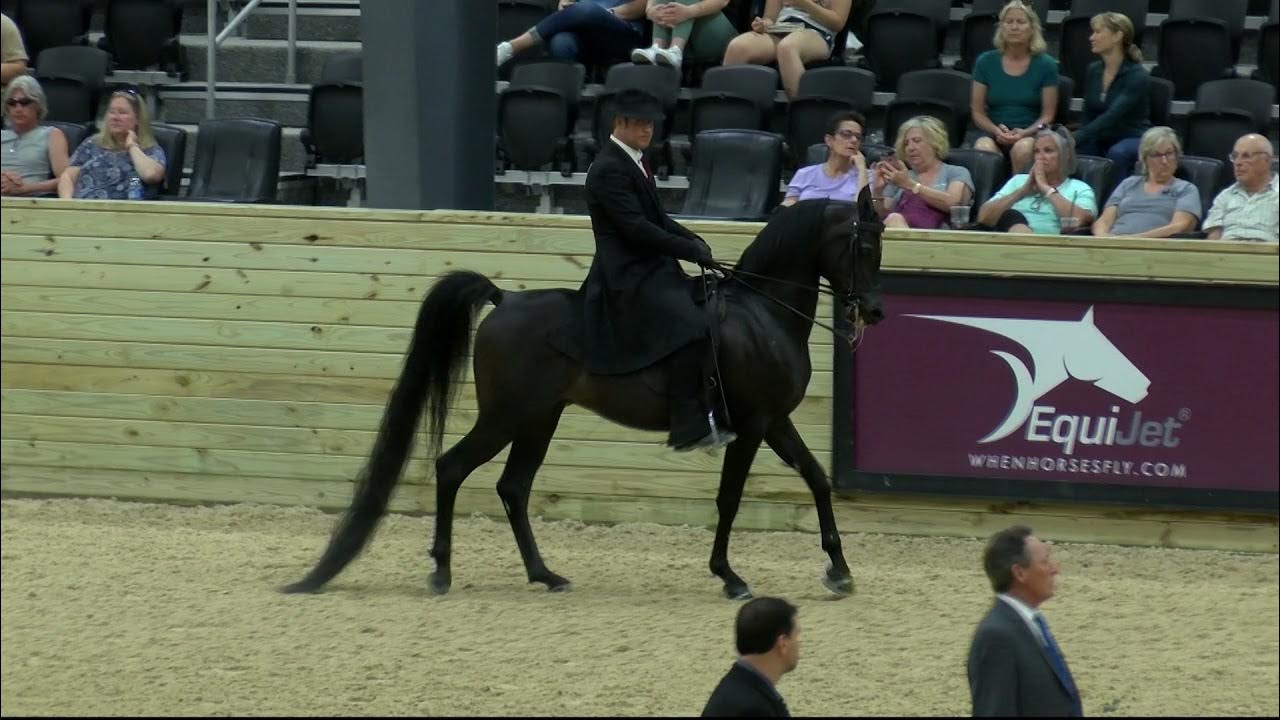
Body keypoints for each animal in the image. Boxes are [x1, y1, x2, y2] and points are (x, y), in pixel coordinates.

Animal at [282, 191, 886, 600]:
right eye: (863, 245)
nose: (875, 310)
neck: (762, 314)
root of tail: (504, 300)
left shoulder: (774, 420)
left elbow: (817, 478)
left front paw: (839, 571)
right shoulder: (754, 424)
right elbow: (730, 499)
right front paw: (731, 577)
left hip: (539, 418)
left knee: (513, 487)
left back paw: (545, 575)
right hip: (506, 416)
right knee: (453, 467)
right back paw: (441, 570)